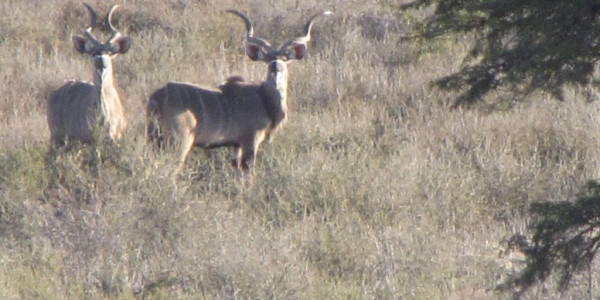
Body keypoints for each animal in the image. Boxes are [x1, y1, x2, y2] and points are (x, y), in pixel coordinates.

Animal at [146, 9, 332, 171]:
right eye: (267, 60)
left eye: (285, 59)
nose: (276, 68)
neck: (263, 98)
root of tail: (156, 98)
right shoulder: (250, 140)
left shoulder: (236, 146)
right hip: (179, 141)